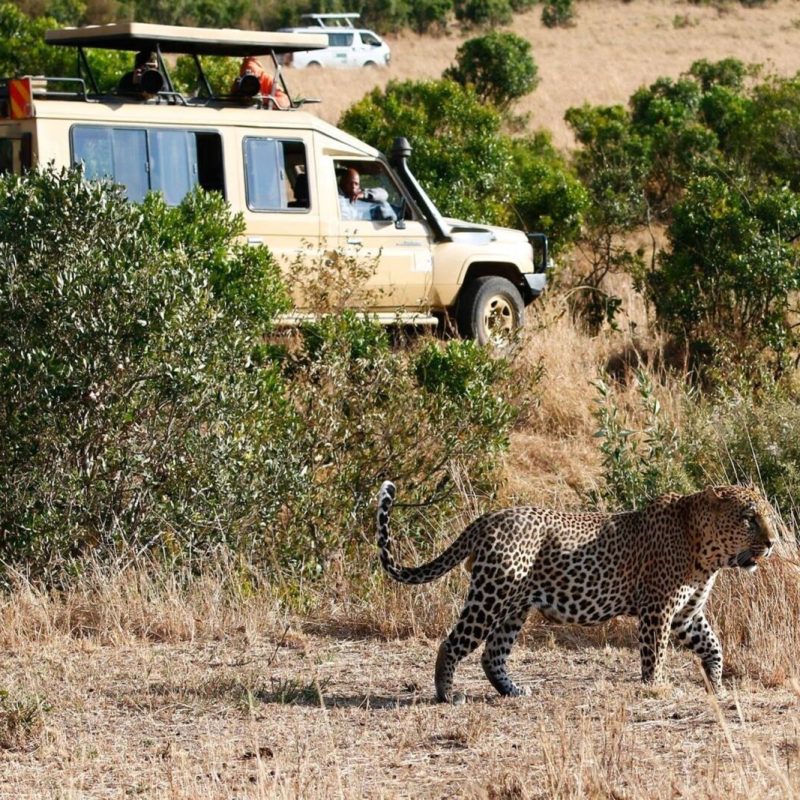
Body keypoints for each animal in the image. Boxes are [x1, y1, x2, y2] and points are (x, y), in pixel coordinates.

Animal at [376, 481, 780, 704]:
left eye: (767, 516)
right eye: (749, 518)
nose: (772, 543)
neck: (707, 555)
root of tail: (488, 518)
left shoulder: (687, 615)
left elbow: (714, 645)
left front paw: (716, 684)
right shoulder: (658, 610)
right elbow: (655, 654)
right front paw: (656, 688)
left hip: (514, 605)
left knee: (493, 655)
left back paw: (513, 691)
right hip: (491, 595)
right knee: (453, 643)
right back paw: (446, 695)